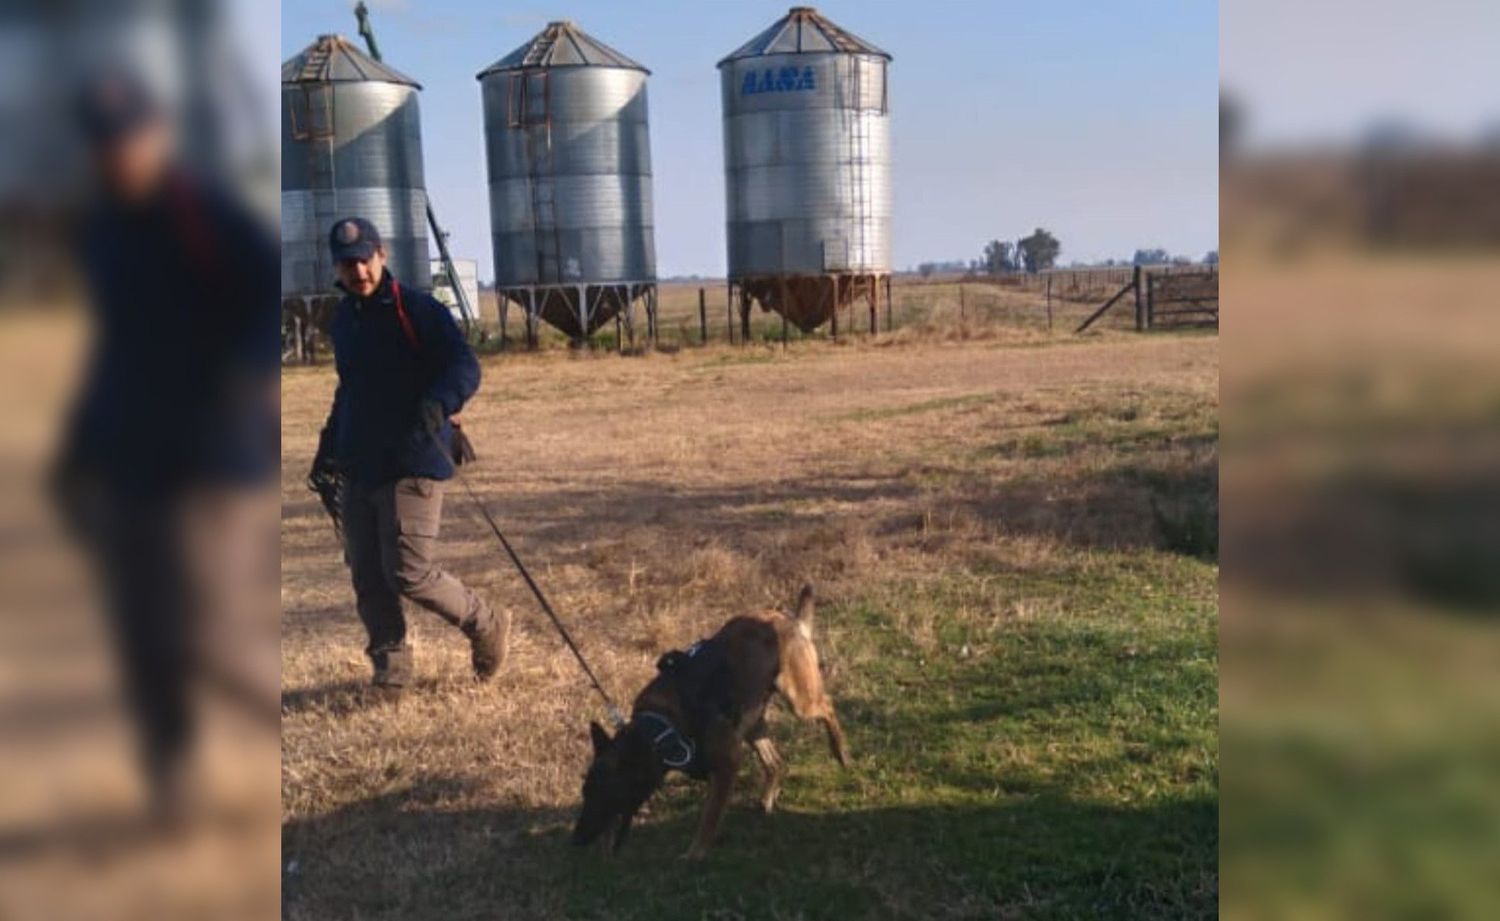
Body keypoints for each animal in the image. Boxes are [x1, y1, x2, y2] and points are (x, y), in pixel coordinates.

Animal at [570, 588, 846, 864]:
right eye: (585, 793)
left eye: (604, 794)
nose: (576, 840)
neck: (659, 732)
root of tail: (789, 619)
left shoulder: (727, 766)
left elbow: (708, 819)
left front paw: (695, 854)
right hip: (752, 722)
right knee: (777, 763)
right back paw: (767, 799)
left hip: (800, 702)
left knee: (827, 705)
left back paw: (840, 750)